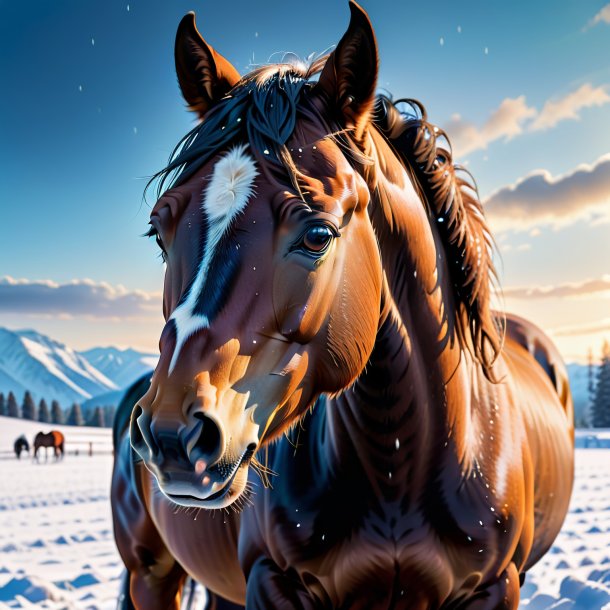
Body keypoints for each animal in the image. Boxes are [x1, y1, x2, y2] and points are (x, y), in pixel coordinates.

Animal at [111, 2, 572, 604]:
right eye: (159, 232)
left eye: (318, 234)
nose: (171, 435)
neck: (399, 465)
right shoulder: (272, 581)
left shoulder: (496, 587)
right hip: (152, 573)